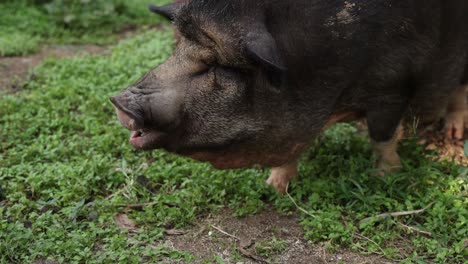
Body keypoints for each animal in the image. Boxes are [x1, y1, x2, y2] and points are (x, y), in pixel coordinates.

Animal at [112, 0, 468, 194]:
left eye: (221, 67)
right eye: (177, 46)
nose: (119, 102)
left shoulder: (393, 86)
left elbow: (381, 137)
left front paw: (384, 177)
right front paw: (273, 188)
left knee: (459, 92)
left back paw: (453, 135)